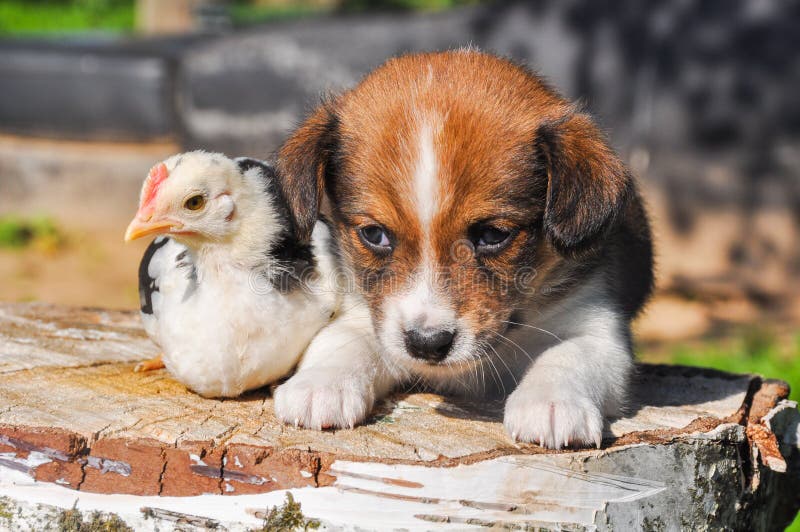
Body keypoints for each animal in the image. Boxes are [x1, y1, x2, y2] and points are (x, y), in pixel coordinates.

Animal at [272, 51, 652, 448]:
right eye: (375, 234)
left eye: (492, 234)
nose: (427, 344)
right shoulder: (370, 314)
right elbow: (342, 340)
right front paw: (319, 384)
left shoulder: (595, 323)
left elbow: (569, 354)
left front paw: (552, 403)